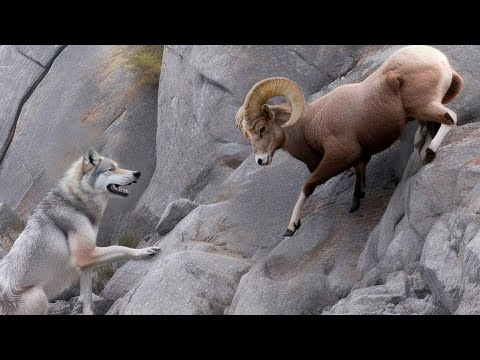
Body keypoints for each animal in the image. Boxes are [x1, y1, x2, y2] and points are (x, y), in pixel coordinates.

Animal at [0, 148, 161, 314]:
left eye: (118, 166)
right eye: (110, 169)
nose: (137, 173)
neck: (76, 202)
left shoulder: (87, 262)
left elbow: (87, 296)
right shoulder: (86, 256)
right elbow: (121, 248)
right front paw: (143, 251)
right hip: (40, 295)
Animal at [235, 45, 462, 236]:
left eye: (262, 129)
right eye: (249, 134)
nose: (260, 160)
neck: (308, 126)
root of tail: (440, 61)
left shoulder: (338, 156)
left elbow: (308, 186)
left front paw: (291, 228)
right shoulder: (359, 158)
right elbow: (359, 173)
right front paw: (356, 200)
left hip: (425, 105)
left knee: (451, 117)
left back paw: (429, 152)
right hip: (422, 112)